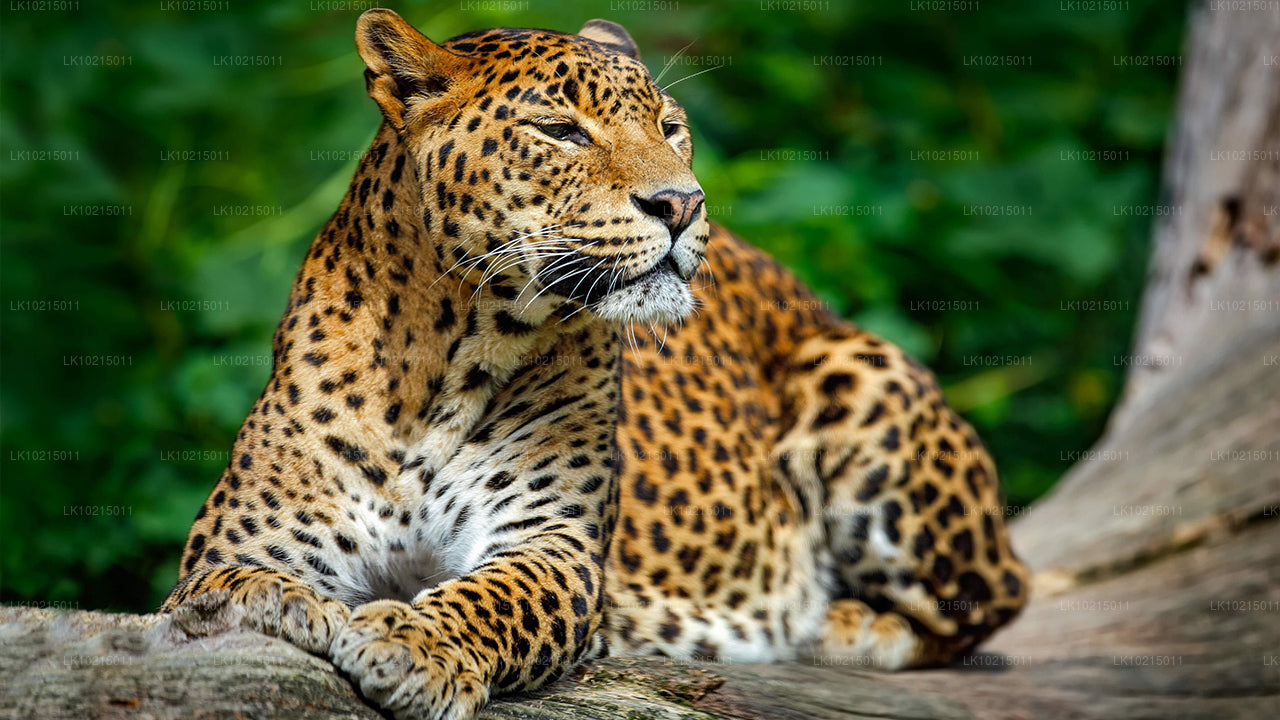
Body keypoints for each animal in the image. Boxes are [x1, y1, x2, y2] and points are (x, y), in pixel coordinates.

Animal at [165, 8, 1029, 712]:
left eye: (671, 127)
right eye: (562, 131)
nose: (682, 202)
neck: (446, 356)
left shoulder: (554, 542)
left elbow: (492, 599)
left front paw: (411, 644)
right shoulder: (243, 542)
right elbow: (228, 587)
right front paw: (282, 606)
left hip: (861, 376)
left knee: (991, 602)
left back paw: (834, 622)